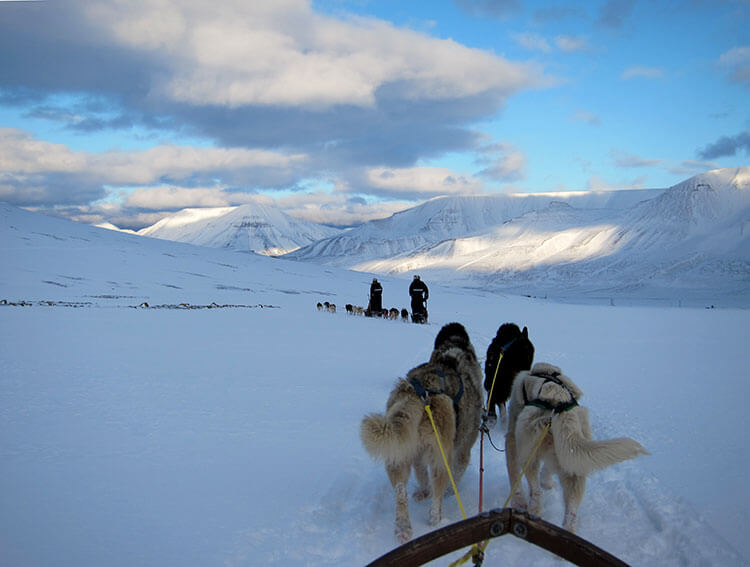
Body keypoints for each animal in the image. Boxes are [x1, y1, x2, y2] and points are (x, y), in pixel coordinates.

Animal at [362, 324, 484, 540]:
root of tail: (419, 393)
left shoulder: (417, 452)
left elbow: (420, 473)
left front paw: (423, 490)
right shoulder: (462, 451)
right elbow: (456, 474)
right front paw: (450, 492)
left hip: (399, 454)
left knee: (400, 490)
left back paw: (403, 527)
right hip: (441, 456)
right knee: (438, 490)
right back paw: (436, 519)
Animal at [506, 364, 652, 532]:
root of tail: (560, 406)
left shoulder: (513, 439)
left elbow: (514, 473)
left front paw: (519, 499)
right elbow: (547, 470)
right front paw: (547, 483)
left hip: (528, 454)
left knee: (536, 491)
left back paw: (533, 511)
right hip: (575, 466)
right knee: (571, 513)